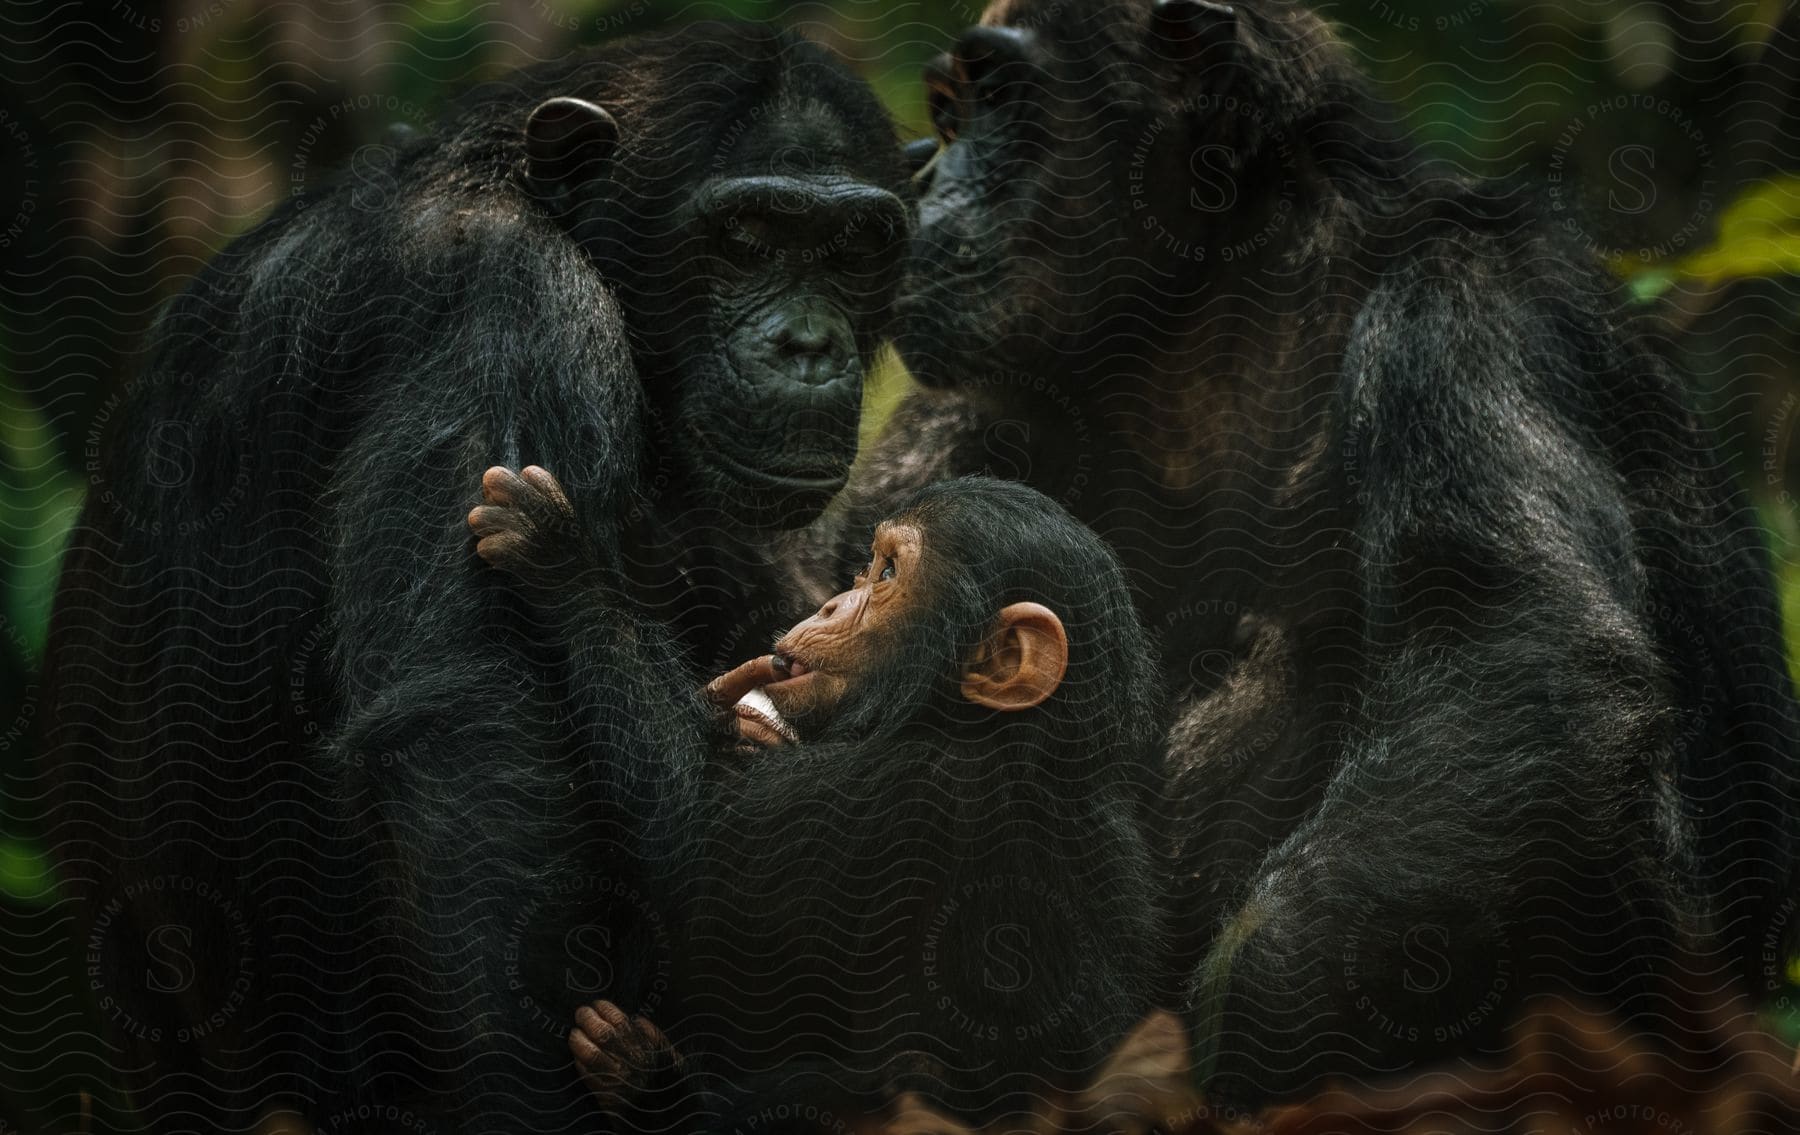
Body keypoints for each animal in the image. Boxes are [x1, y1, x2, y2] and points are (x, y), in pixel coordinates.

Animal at [468, 467, 1166, 1129]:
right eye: (867, 565)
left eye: (888, 573)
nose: (831, 606)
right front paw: (739, 728)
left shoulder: (906, 796)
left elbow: (692, 851)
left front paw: (560, 553)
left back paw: (649, 1089)